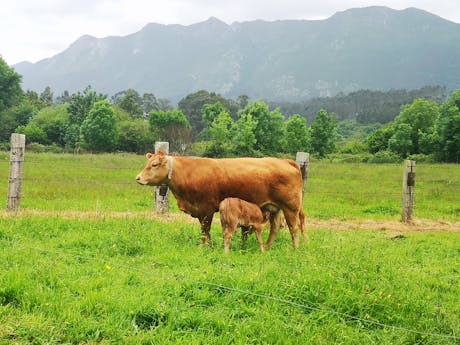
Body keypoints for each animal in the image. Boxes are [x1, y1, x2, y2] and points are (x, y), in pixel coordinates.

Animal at [138, 150, 308, 247]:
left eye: (154, 164)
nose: (138, 178)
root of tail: (285, 161)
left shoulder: (206, 209)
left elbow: (205, 230)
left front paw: (204, 247)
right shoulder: (200, 211)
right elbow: (205, 231)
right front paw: (210, 246)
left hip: (291, 207)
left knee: (294, 228)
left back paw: (295, 249)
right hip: (275, 207)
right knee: (275, 228)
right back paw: (266, 247)